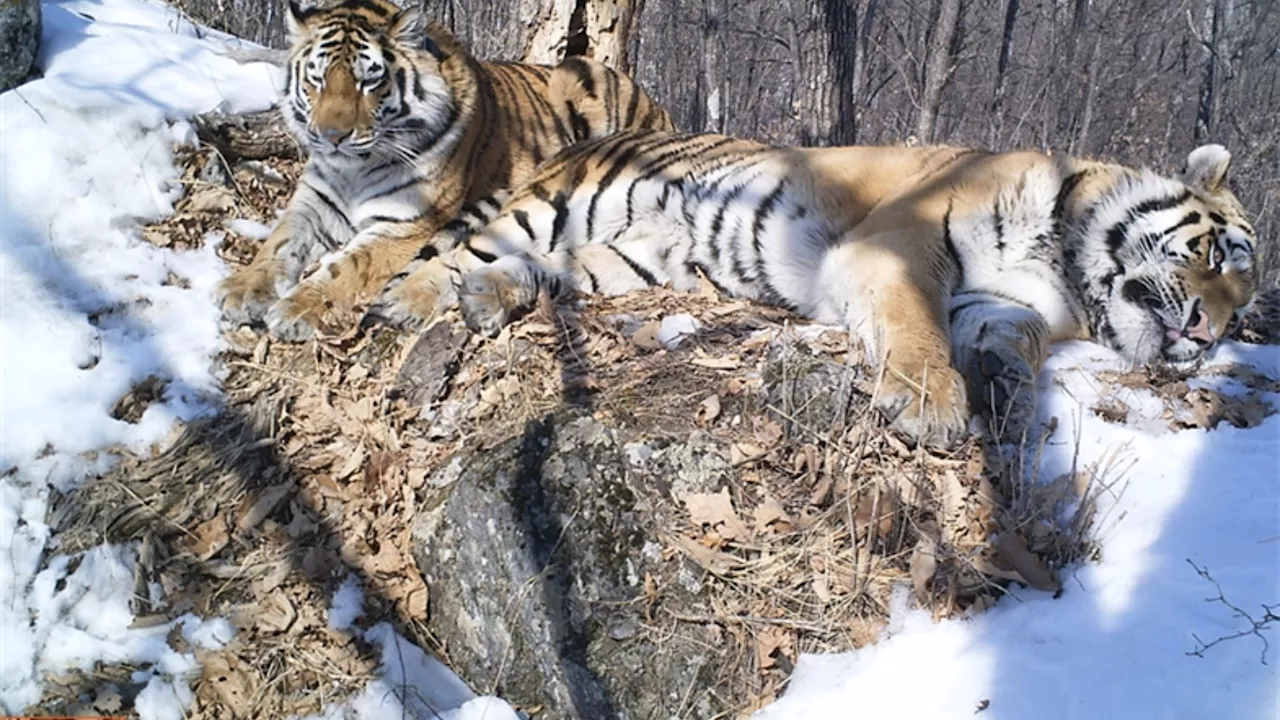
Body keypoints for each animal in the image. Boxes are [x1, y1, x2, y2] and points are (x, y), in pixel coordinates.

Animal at [220, 0, 675, 338]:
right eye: (316, 79)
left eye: (370, 81)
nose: (331, 136)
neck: (353, 170)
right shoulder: (312, 204)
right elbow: (277, 244)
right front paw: (240, 291)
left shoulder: (406, 224)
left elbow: (346, 268)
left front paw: (296, 309)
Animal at [363, 128, 1259, 443]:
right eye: (1221, 257)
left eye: (1246, 307)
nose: (1210, 334)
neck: (1067, 264)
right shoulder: (898, 246)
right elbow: (917, 328)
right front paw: (931, 407)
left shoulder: (999, 301)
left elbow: (1016, 338)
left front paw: (1004, 387)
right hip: (559, 206)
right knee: (455, 252)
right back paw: (406, 301)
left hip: (631, 259)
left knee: (541, 274)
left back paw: (492, 297)